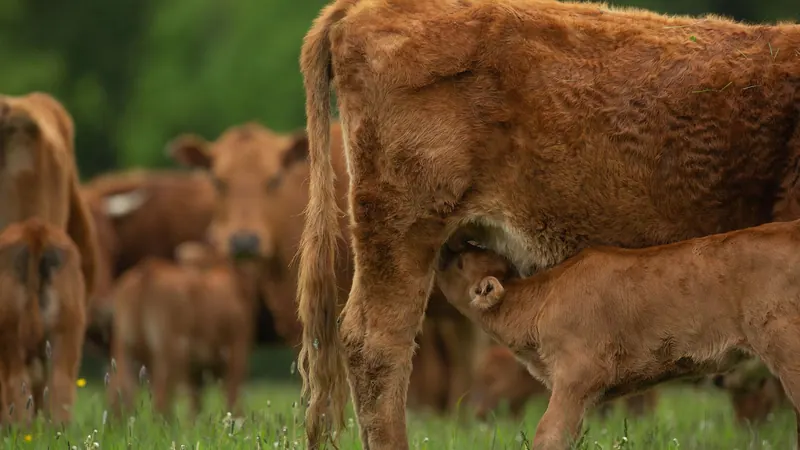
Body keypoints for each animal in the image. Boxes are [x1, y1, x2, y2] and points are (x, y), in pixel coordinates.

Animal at [106, 242, 252, 420]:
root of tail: (146, 270)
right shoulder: (237, 352)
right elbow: (233, 398)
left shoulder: (195, 370)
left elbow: (195, 407)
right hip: (170, 353)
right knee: (161, 399)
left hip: (123, 348)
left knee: (118, 393)